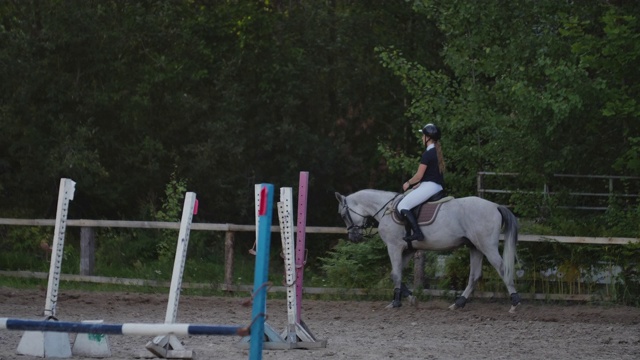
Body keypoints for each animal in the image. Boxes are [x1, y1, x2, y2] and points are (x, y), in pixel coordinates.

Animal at [336, 188, 520, 312]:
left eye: (343, 215)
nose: (353, 237)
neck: (385, 209)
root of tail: (495, 206)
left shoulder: (394, 246)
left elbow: (395, 274)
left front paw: (396, 302)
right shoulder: (408, 250)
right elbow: (396, 273)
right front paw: (412, 299)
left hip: (487, 246)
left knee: (502, 269)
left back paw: (515, 303)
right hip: (475, 247)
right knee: (475, 275)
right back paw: (458, 303)